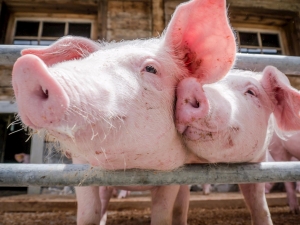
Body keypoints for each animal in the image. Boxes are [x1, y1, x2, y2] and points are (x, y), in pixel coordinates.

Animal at [10, 0, 237, 224]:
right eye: (88, 60)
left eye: (151, 69)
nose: (26, 66)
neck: (132, 165)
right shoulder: (80, 166)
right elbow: (88, 212)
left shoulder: (173, 172)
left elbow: (162, 213)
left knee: (181, 207)